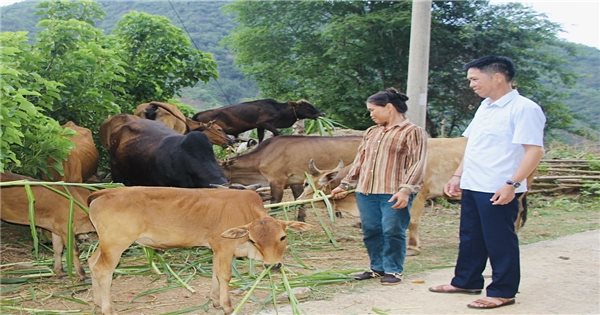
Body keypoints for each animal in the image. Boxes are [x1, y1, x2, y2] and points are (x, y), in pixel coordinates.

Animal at [88, 186, 312, 314]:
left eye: (282, 237)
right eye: (254, 240)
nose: (273, 266)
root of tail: (105, 192)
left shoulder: (216, 249)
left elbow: (215, 274)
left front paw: (215, 301)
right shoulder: (224, 248)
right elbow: (224, 276)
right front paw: (227, 306)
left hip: (104, 244)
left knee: (92, 263)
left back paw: (97, 303)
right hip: (116, 244)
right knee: (103, 270)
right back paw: (107, 308)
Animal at [192, 99, 324, 143]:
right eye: (307, 107)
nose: (322, 113)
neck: (277, 109)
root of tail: (199, 113)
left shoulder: (259, 127)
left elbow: (261, 138)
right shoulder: (264, 123)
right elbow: (277, 133)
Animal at [302, 138, 532, 256]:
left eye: (307, 184)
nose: (301, 204)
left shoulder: (419, 194)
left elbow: (412, 222)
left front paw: (412, 247)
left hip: (517, 190)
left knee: (517, 213)